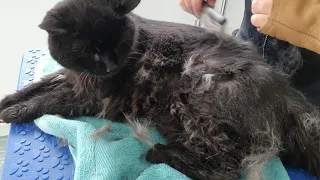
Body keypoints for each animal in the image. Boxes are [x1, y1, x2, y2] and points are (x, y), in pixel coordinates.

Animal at [0, 0, 320, 179]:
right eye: (89, 51)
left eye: (118, 44)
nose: (110, 66)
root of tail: (289, 98)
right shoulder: (71, 78)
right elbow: (37, 85)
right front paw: (9, 100)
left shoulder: (89, 96)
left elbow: (47, 100)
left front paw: (15, 112)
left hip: (195, 98)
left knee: (225, 169)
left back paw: (158, 153)